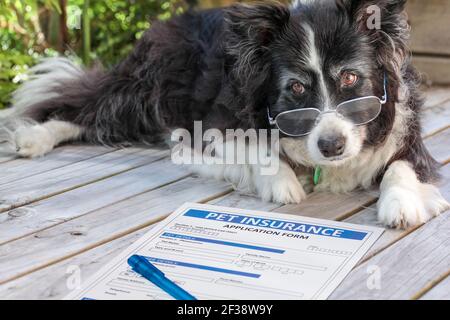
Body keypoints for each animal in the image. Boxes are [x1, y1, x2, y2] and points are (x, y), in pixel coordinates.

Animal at [1, 0, 448, 229]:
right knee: (89, 106)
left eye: (351, 78)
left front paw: (401, 203)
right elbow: (255, 147)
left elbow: (402, 166)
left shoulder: (407, 136)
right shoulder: (215, 122)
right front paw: (282, 182)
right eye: (296, 88)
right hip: (148, 89)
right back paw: (35, 137)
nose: (332, 146)